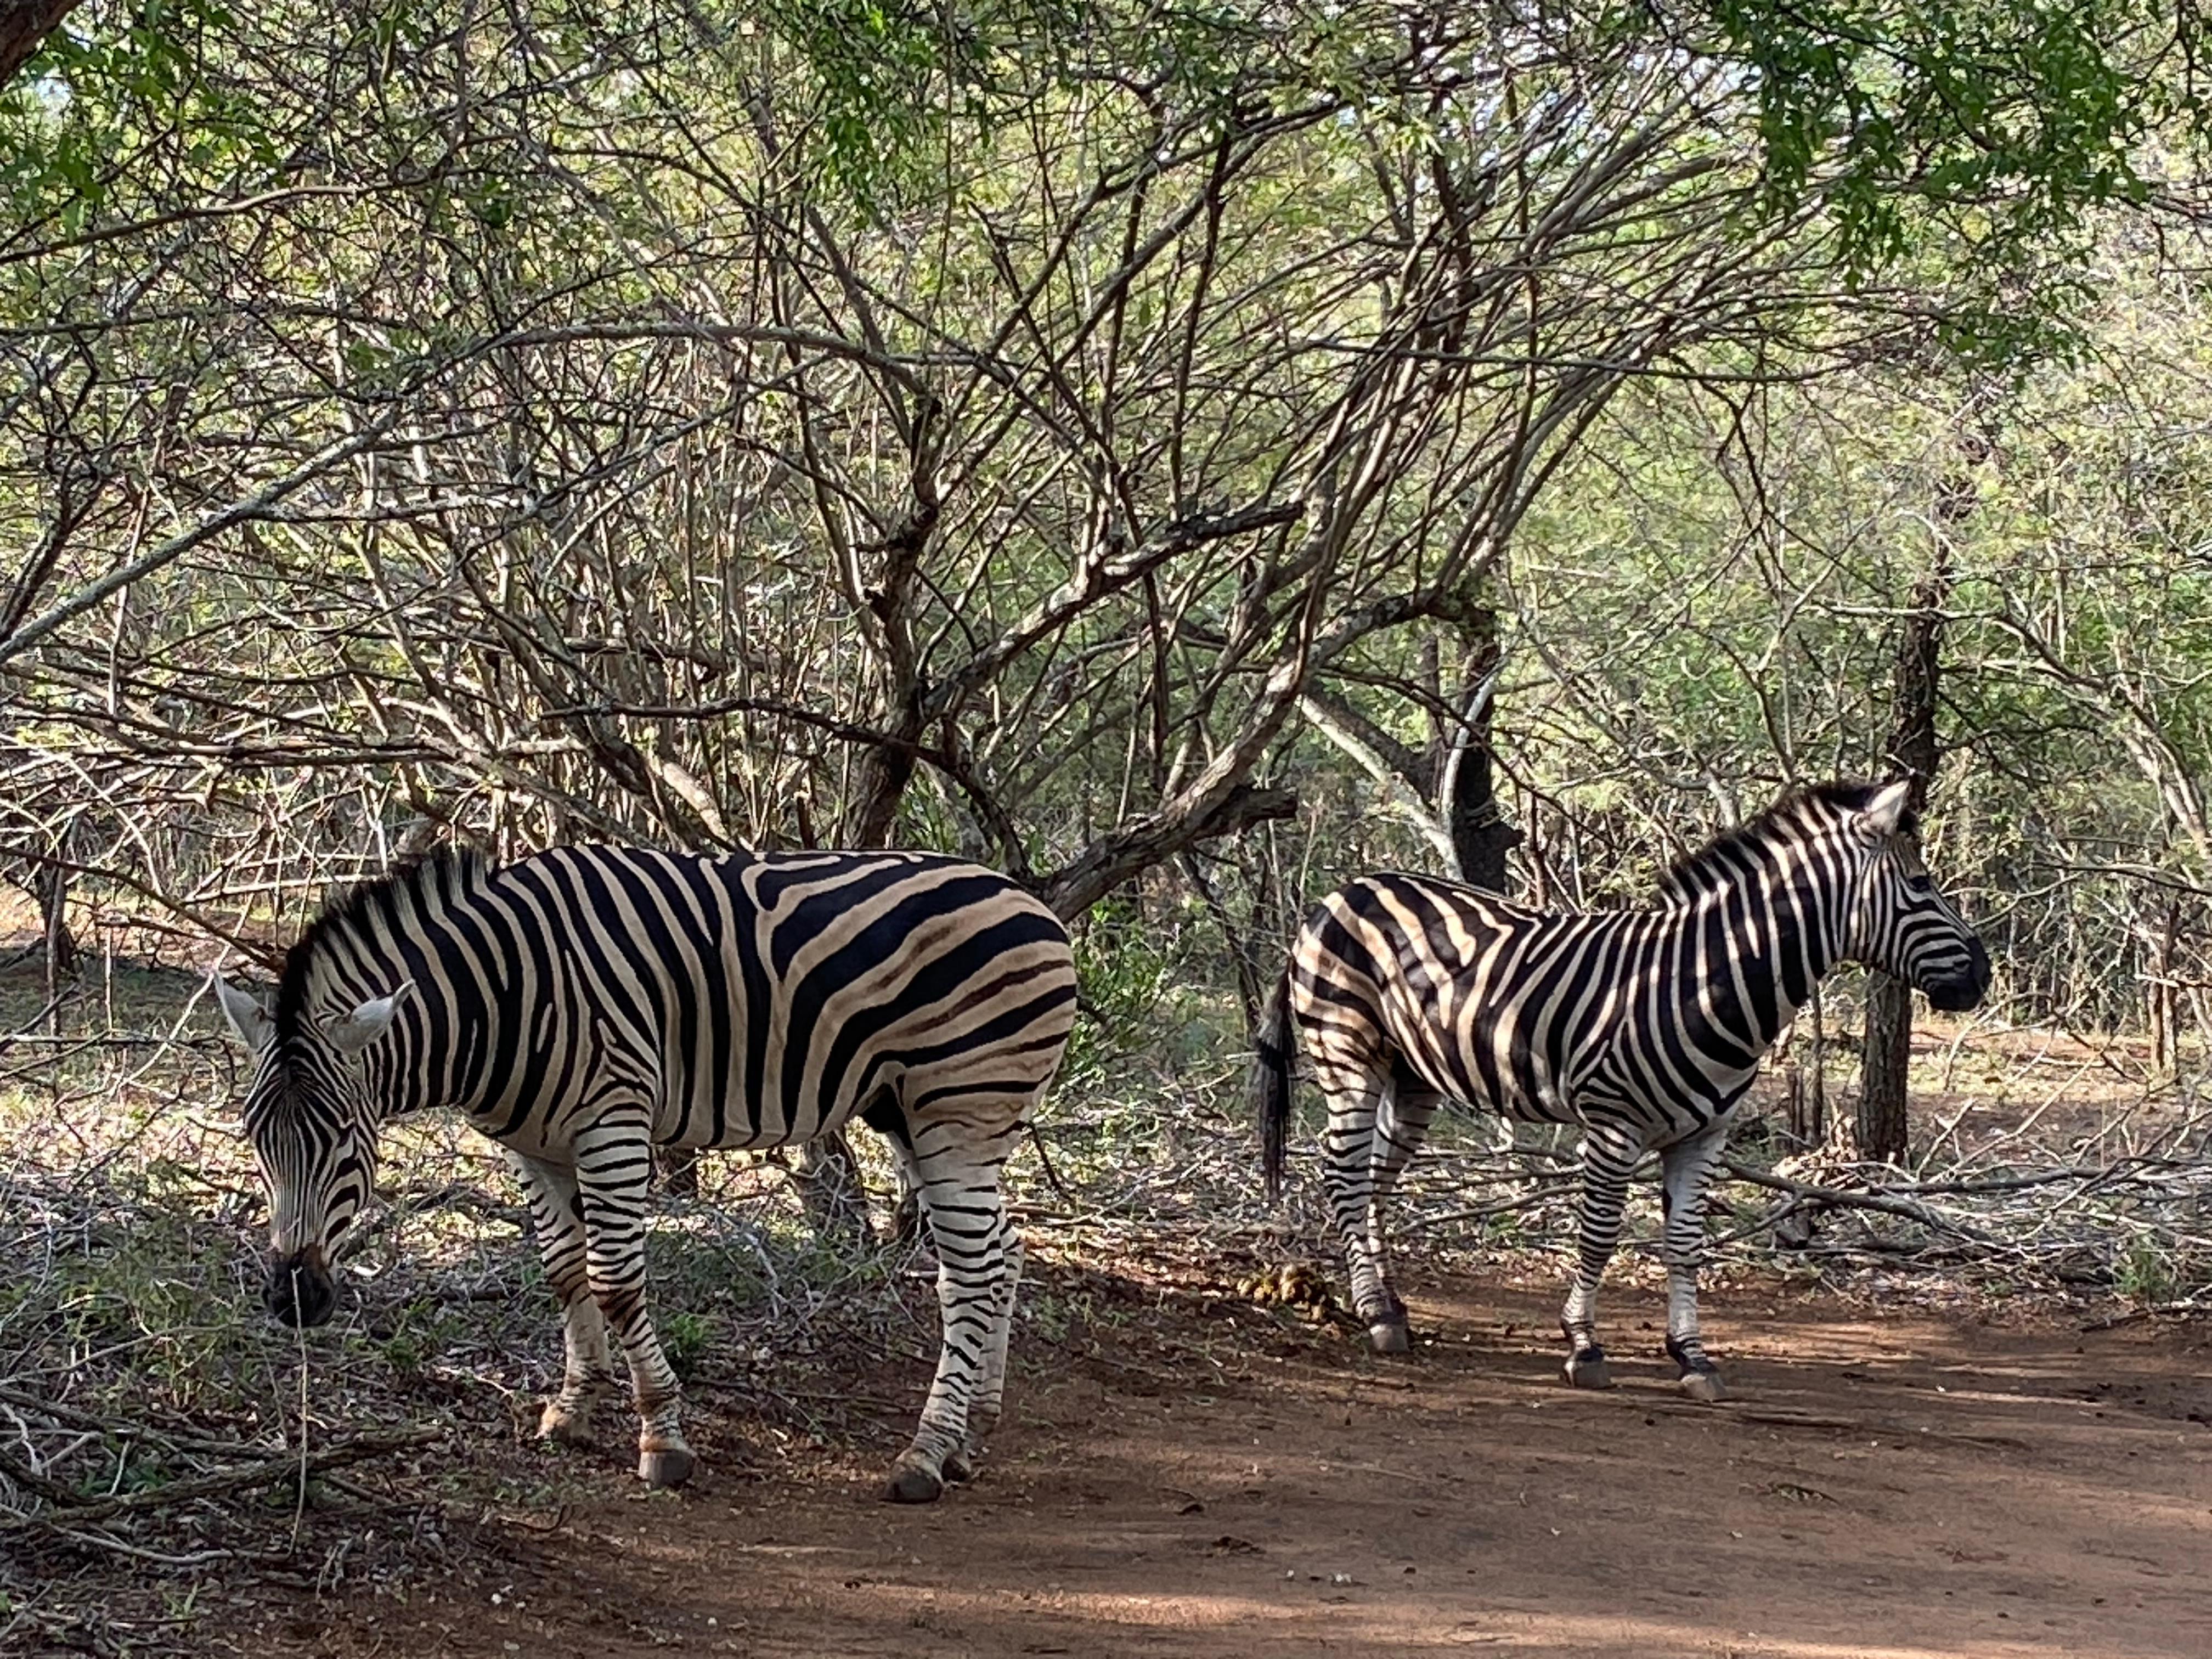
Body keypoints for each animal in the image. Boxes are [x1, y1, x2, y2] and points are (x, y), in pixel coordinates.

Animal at [211, 849, 1075, 1504]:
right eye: (255, 1139)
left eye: (345, 1143)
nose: (291, 1299)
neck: (500, 998)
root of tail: (1032, 902)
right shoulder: (534, 1146)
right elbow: (564, 1274)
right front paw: (571, 1409)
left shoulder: (613, 1125)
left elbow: (615, 1281)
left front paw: (662, 1434)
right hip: (913, 1115)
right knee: (1002, 1252)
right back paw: (971, 1431)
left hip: (958, 1111)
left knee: (971, 1270)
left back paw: (926, 1452)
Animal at [1256, 787, 1999, 1398]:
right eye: (1921, 884)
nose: (1984, 975)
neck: (1704, 982)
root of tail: (1338, 895)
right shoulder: (1614, 1125)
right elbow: (1599, 1234)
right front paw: (1584, 1346)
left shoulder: (1704, 1137)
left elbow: (1686, 1243)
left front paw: (1692, 1356)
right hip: (1347, 1053)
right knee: (1344, 1173)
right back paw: (1376, 1314)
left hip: (1411, 1077)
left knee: (1376, 1179)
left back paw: (1388, 1303)